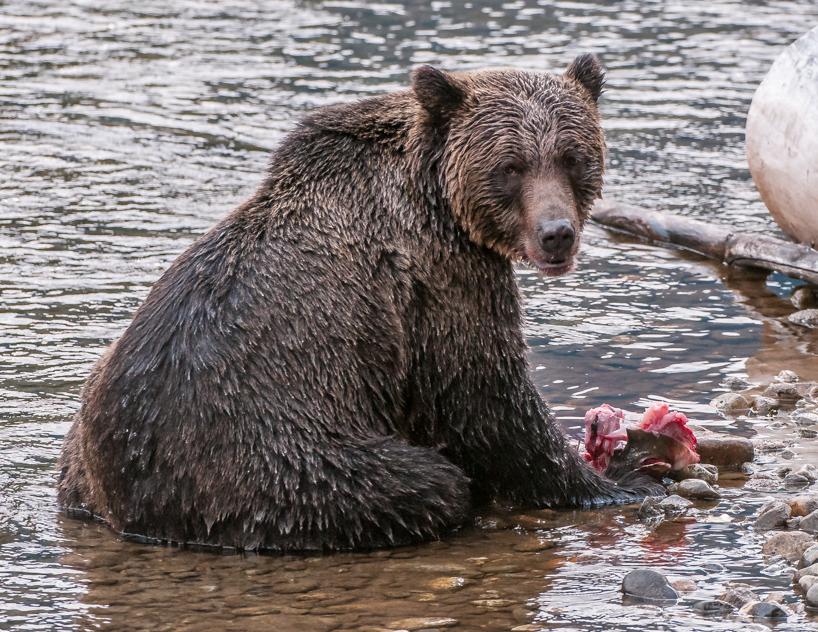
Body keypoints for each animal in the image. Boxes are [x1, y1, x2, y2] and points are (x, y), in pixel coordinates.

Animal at [57, 54, 661, 552]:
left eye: (572, 157)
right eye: (510, 166)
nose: (556, 234)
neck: (439, 198)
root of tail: (130, 508)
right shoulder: (440, 280)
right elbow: (485, 396)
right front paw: (622, 479)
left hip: (85, 439)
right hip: (278, 457)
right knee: (422, 484)